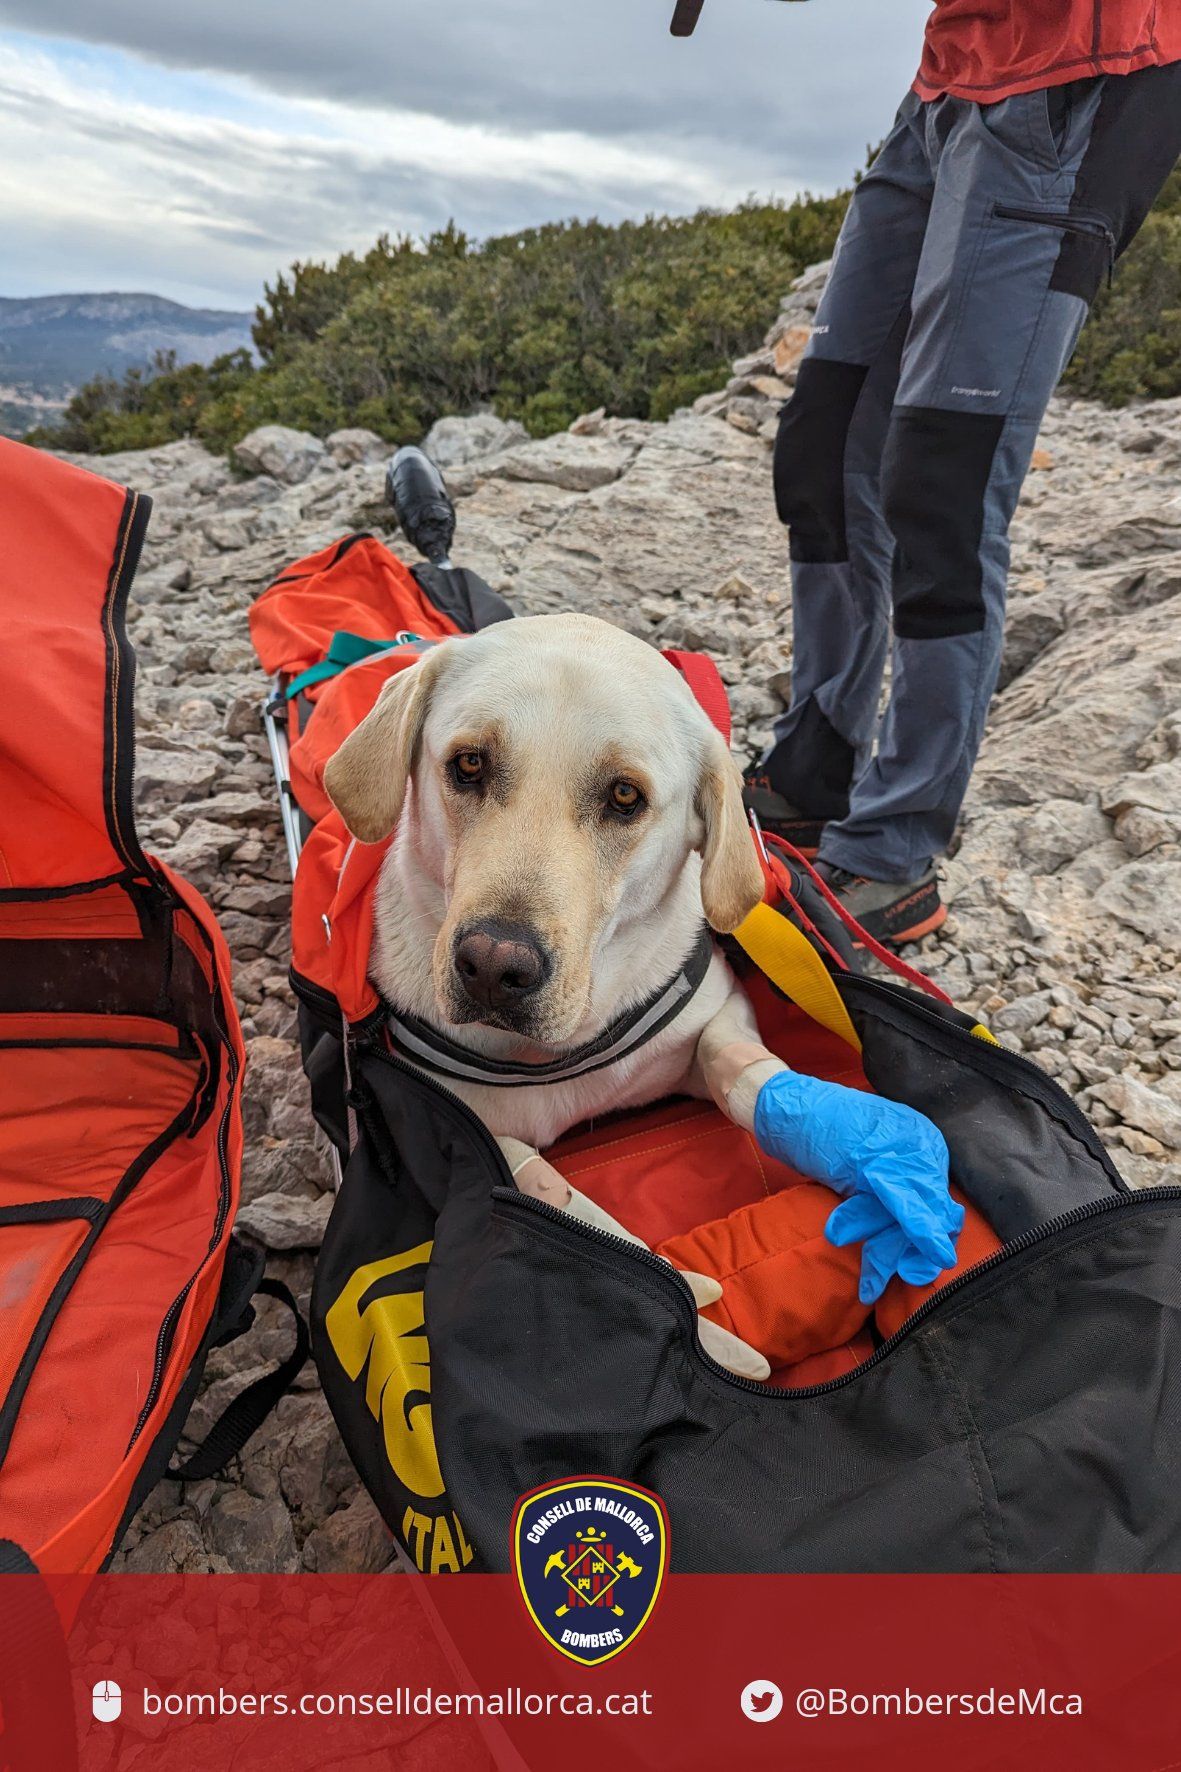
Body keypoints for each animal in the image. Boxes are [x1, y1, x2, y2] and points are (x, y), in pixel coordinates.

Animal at [322, 616, 769, 1375]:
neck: (549, 1058)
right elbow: (557, 1194)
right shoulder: (459, 1120)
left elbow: (747, 1072)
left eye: (625, 796)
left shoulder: (723, 1009)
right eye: (469, 764)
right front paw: (709, 1321)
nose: (493, 966)